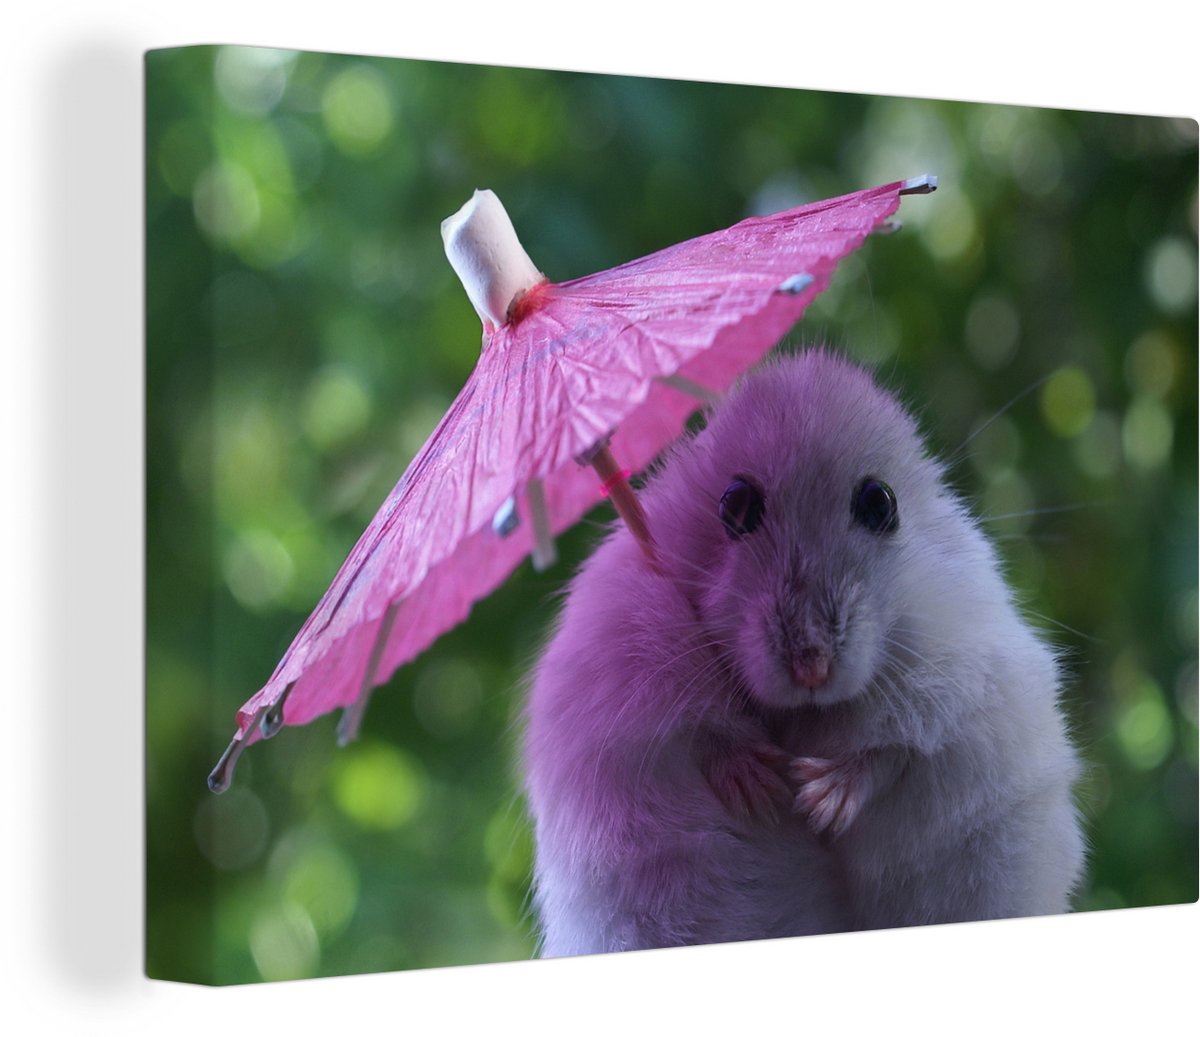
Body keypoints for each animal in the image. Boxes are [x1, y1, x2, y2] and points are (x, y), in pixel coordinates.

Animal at [522, 349, 1085, 957]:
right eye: (734, 504)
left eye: (880, 502)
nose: (811, 666)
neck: (798, 713)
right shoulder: (618, 660)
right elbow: (700, 733)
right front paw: (765, 790)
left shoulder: (968, 664)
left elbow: (897, 747)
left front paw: (817, 800)